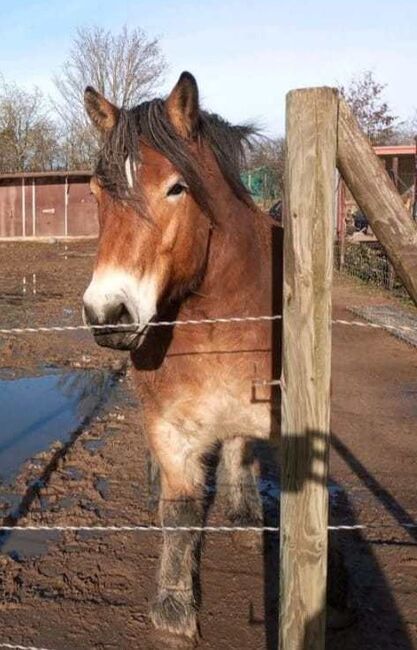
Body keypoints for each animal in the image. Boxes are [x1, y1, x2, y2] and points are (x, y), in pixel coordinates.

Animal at [83, 72, 346, 636]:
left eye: (176, 187)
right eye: (96, 190)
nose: (108, 313)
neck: (218, 321)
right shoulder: (169, 428)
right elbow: (180, 514)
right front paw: (174, 605)